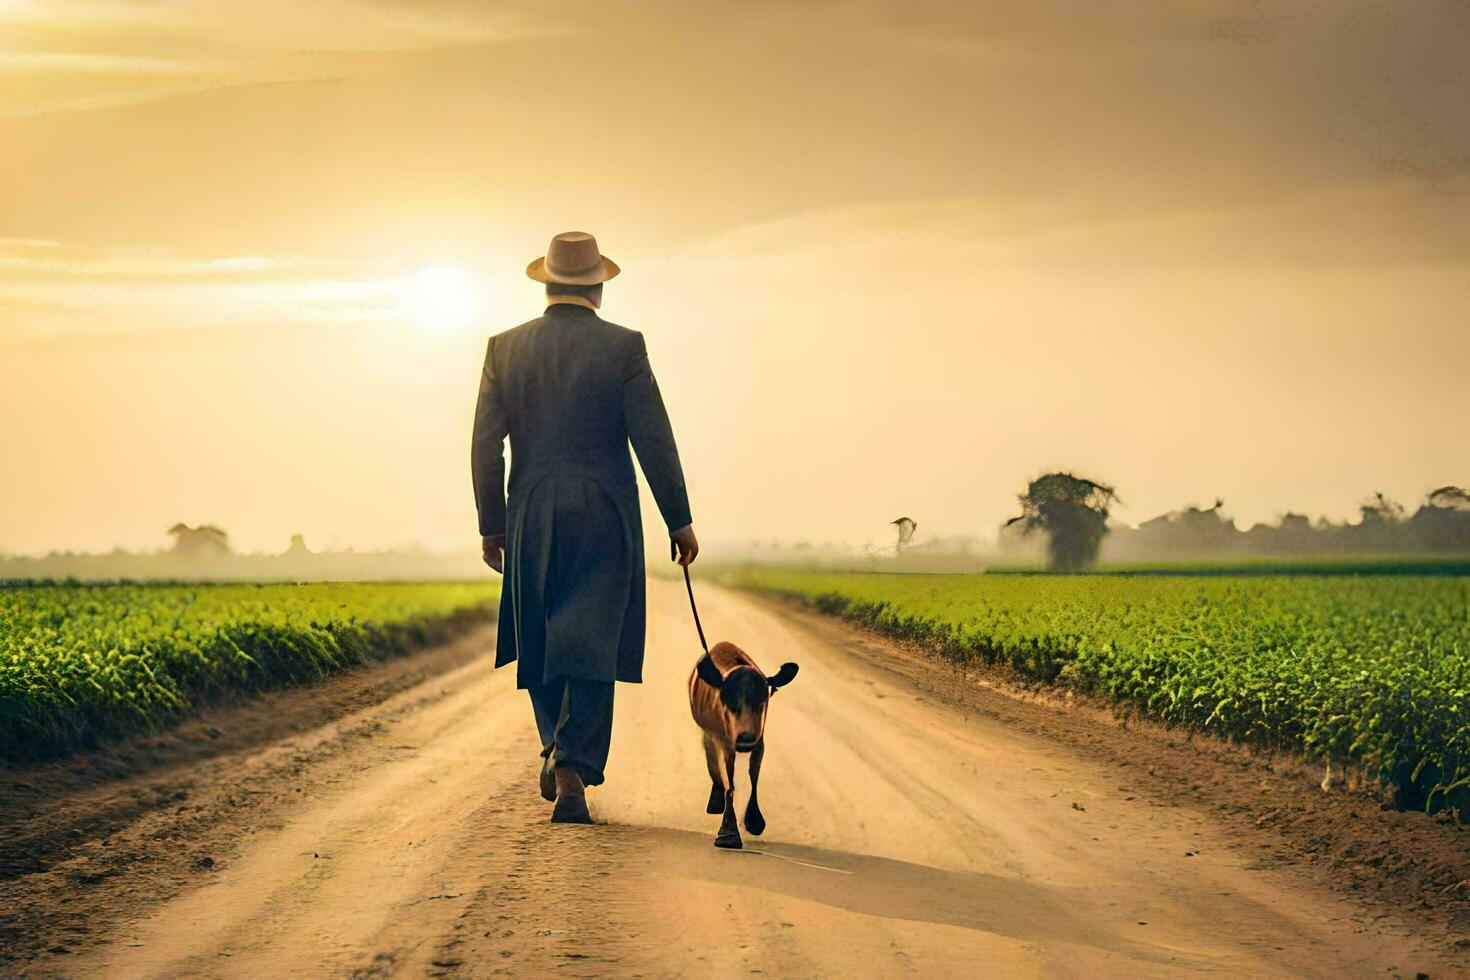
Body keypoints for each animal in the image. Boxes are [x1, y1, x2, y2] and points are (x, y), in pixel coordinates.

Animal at [685, 643, 799, 852]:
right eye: (725, 699)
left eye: (763, 699)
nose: (745, 737)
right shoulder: (725, 741)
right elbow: (730, 783)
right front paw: (728, 834)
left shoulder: (760, 740)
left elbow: (754, 777)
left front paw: (754, 821)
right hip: (709, 734)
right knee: (712, 760)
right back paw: (716, 800)